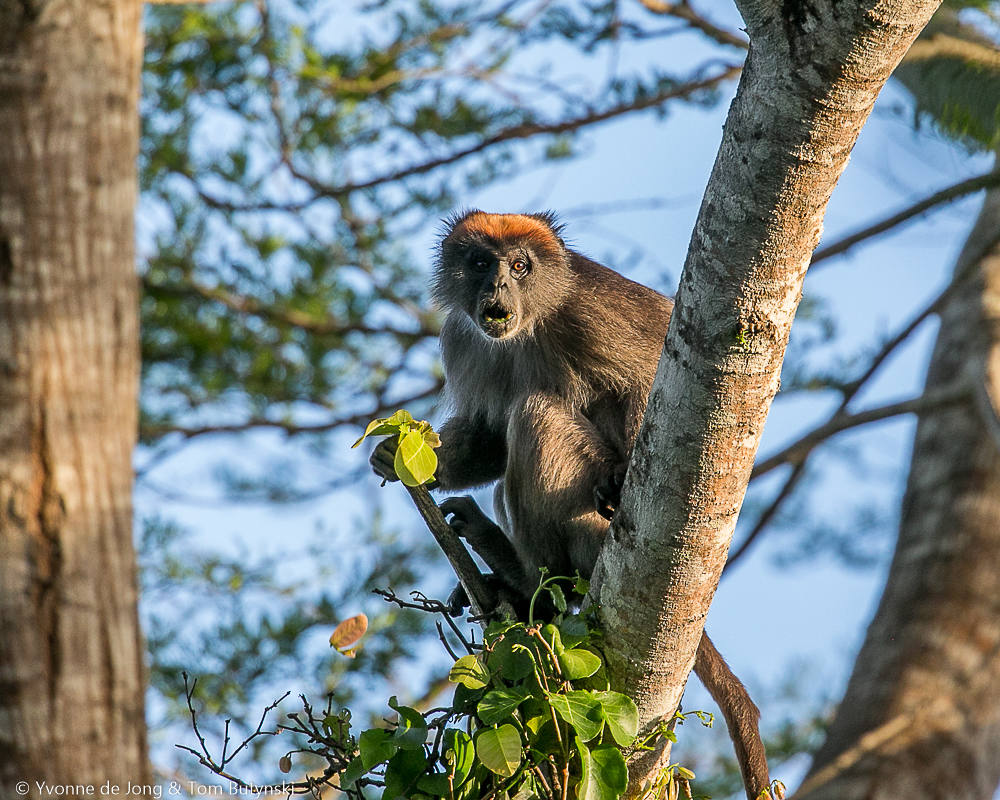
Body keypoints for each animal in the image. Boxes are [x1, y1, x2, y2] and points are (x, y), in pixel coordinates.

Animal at [372, 209, 768, 796]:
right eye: (480, 263)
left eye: (520, 266)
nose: (497, 287)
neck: (528, 327)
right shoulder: (464, 339)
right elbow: (489, 439)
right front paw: (404, 458)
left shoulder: (591, 310)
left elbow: (656, 368)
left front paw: (622, 475)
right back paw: (513, 581)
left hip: (587, 523)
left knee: (536, 412)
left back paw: (536, 582)